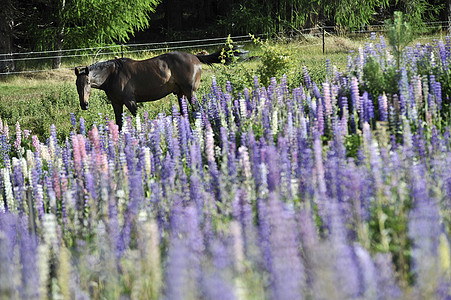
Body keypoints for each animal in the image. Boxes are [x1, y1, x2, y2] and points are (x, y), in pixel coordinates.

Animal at [75, 50, 230, 129]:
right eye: (77, 84)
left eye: (88, 82)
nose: (84, 105)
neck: (113, 74)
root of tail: (195, 56)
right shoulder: (116, 103)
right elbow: (119, 123)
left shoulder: (130, 101)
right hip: (181, 94)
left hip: (190, 93)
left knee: (198, 109)